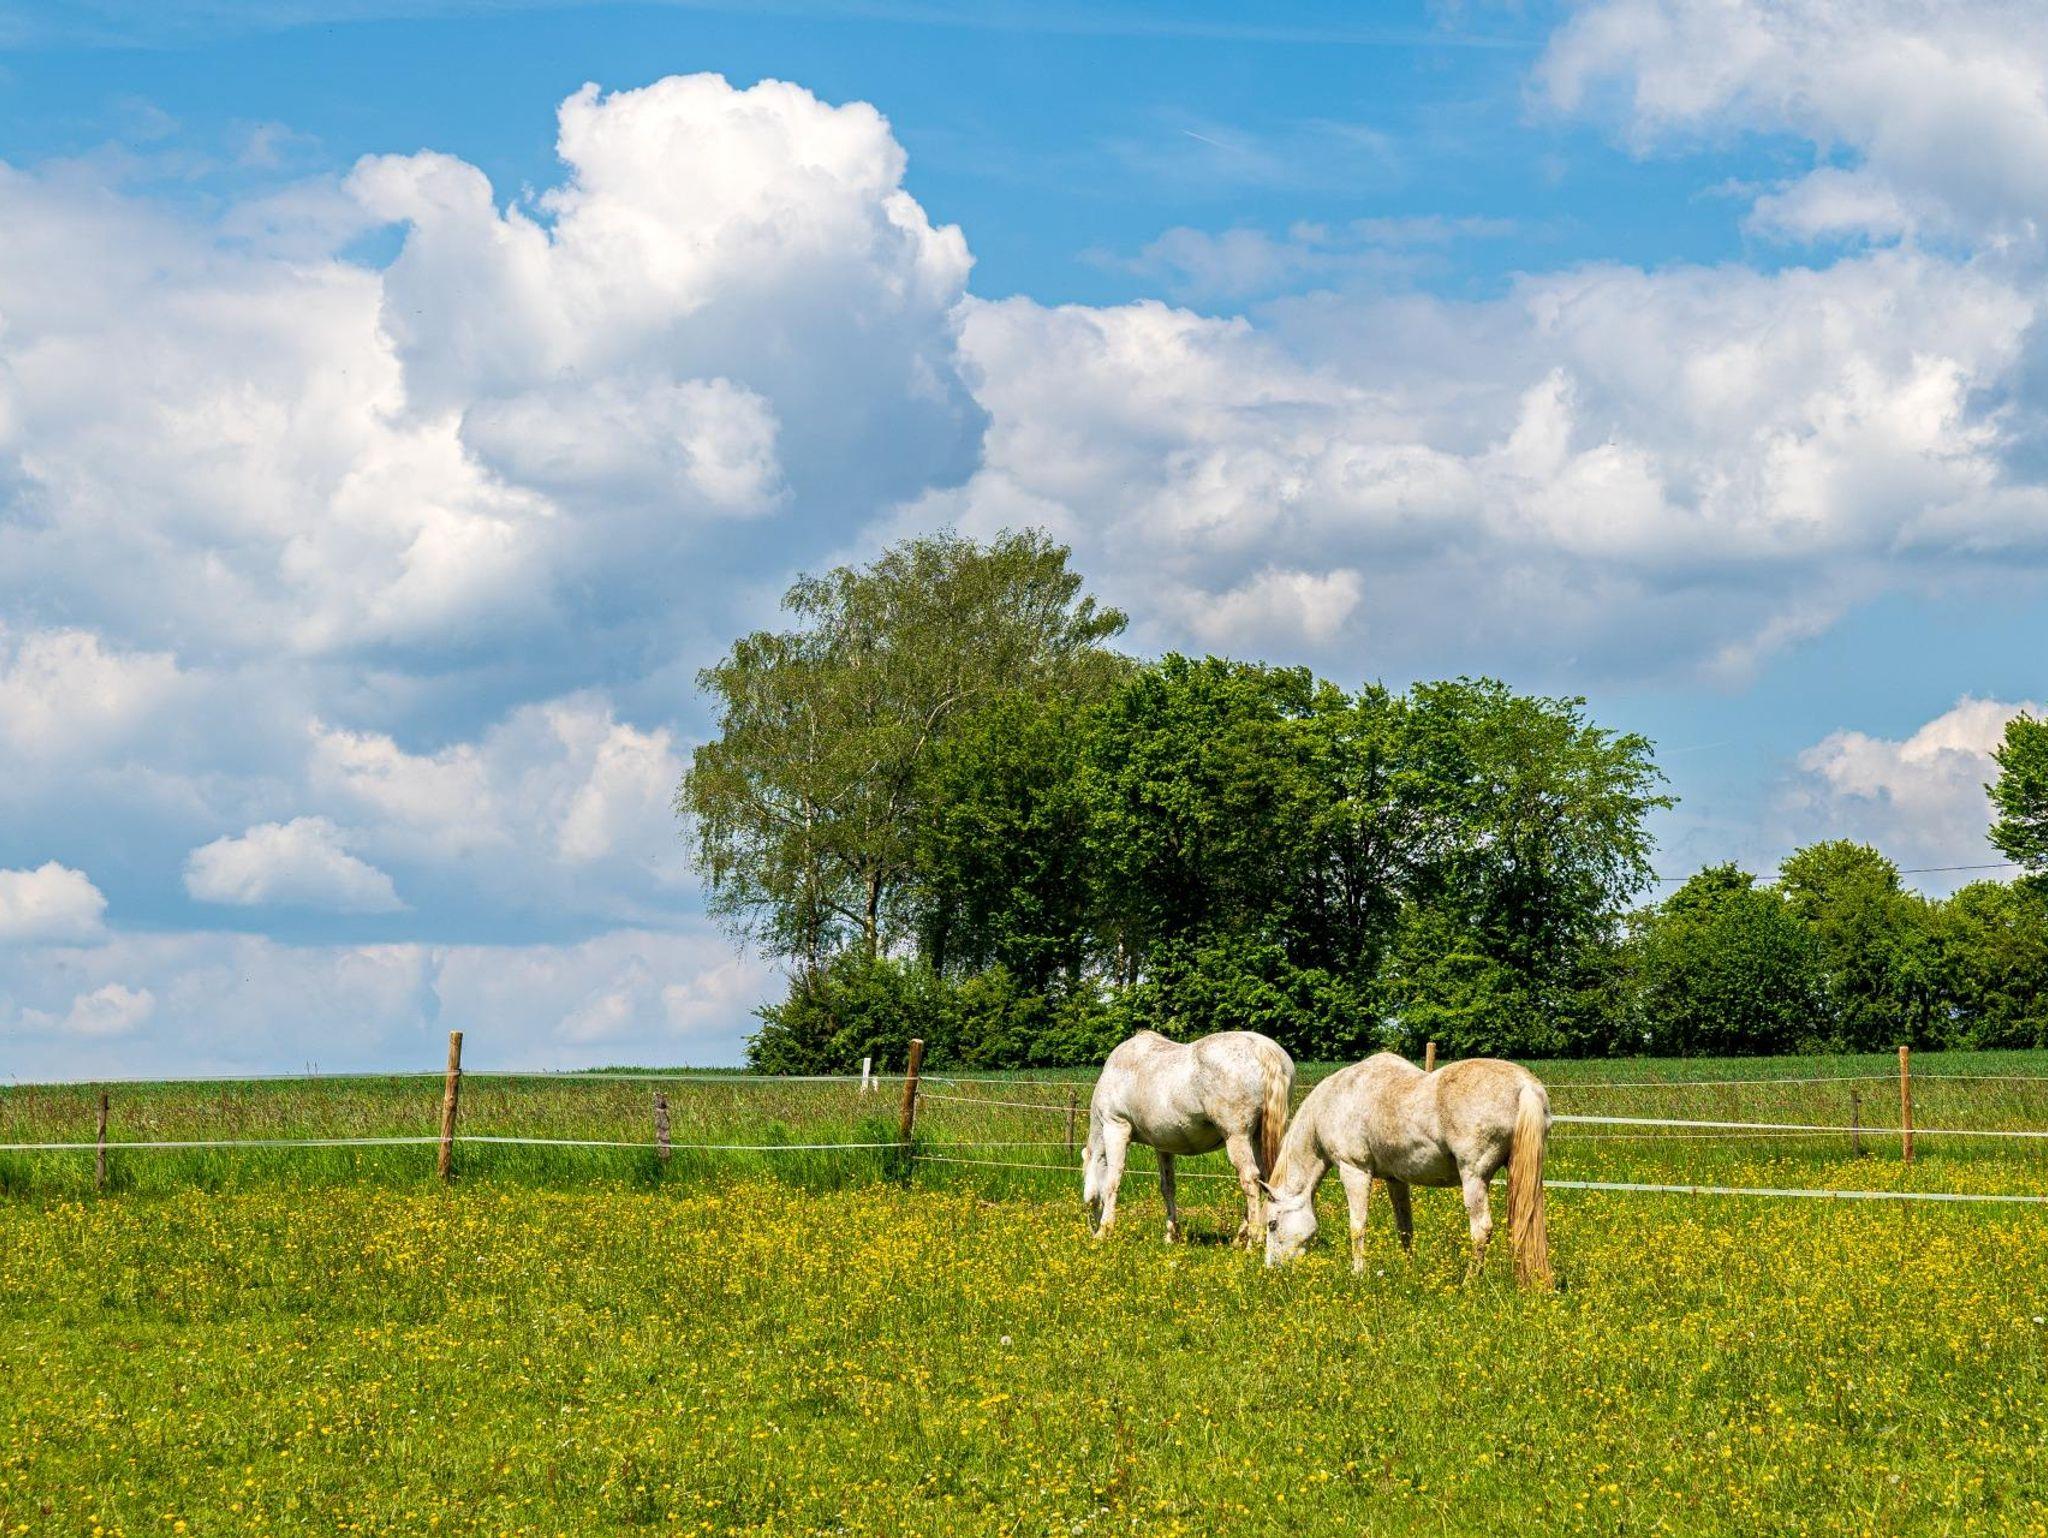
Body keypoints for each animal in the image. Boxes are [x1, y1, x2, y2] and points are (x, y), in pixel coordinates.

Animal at [1083, 1029, 1296, 1245]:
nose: (1091, 1229)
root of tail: (1262, 1048)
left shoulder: (1115, 1128)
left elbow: (1112, 1181)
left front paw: (1104, 1231)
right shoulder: (1163, 1147)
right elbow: (1167, 1187)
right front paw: (1171, 1235)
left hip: (1237, 1137)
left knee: (1250, 1179)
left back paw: (1252, 1240)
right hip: (1259, 1138)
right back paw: (1241, 1238)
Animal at [1261, 1052, 1551, 1288]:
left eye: (1272, 1224)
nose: (1272, 1269)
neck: (1335, 1100)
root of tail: (1525, 1086)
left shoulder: (1354, 1170)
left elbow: (1357, 1226)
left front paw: (1358, 1273)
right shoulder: (1395, 1179)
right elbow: (1405, 1228)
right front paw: (1409, 1271)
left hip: (1474, 1178)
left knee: (1481, 1229)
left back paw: (1470, 1282)